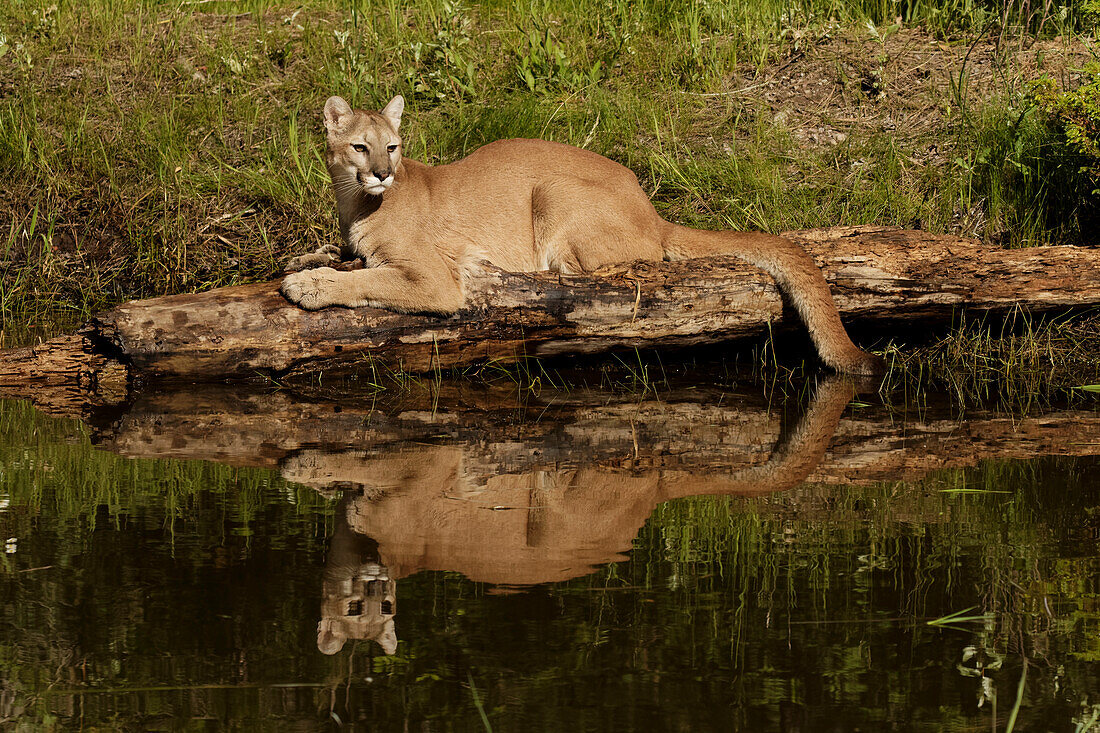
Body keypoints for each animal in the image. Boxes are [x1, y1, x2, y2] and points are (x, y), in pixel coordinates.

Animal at [283, 94, 884, 374]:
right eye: (361, 147)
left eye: (393, 146)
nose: (383, 172)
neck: (356, 201)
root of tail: (651, 207)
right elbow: (348, 260)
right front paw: (306, 260)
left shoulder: (435, 280)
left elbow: (370, 280)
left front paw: (308, 286)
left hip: (552, 190)